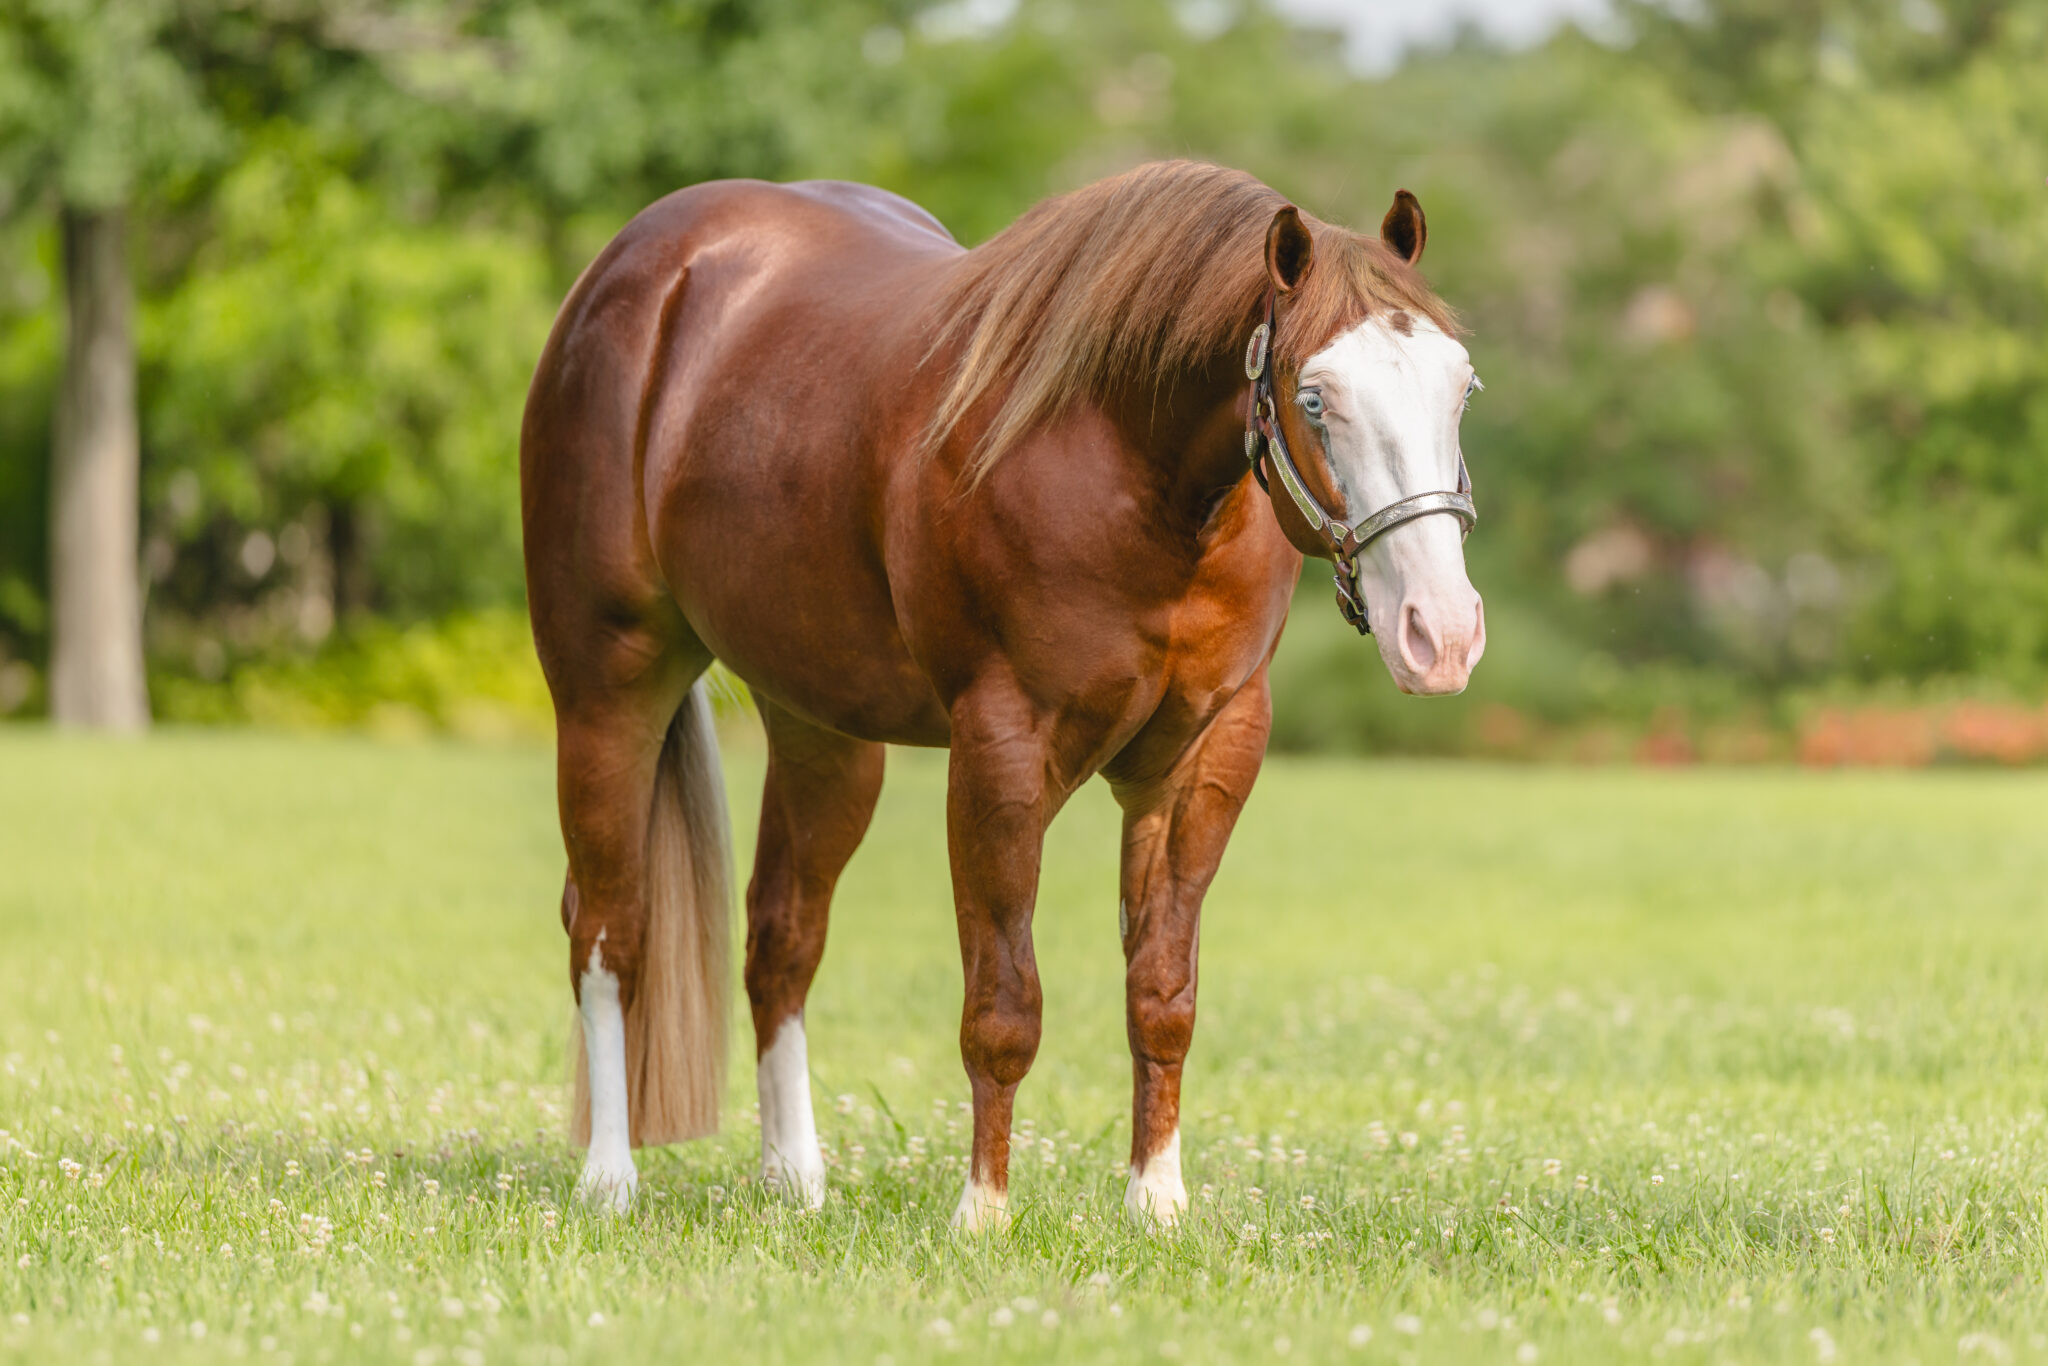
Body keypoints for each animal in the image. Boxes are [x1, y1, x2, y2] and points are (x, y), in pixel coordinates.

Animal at [520, 159, 1486, 1229]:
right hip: (608, 687)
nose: (1442, 634)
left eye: (1462, 387)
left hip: (821, 731)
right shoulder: (1003, 751)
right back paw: (610, 1178)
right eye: (1314, 398)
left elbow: (1162, 996)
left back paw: (795, 1180)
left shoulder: (1203, 756)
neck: (1121, 454)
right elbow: (1003, 1008)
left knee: (781, 938)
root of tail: (643, 270)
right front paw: (982, 1212)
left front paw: (1158, 1205)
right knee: (610, 928)